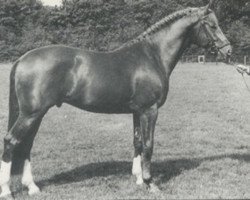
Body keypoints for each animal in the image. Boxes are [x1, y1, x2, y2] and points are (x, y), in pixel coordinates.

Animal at [0, 2, 231, 197]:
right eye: (212, 25)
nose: (228, 51)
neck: (153, 55)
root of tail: (22, 59)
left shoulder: (137, 111)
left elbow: (138, 142)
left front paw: (138, 179)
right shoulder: (150, 110)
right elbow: (149, 144)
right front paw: (151, 183)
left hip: (36, 114)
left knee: (26, 145)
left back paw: (32, 187)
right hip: (31, 114)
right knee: (11, 141)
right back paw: (7, 191)